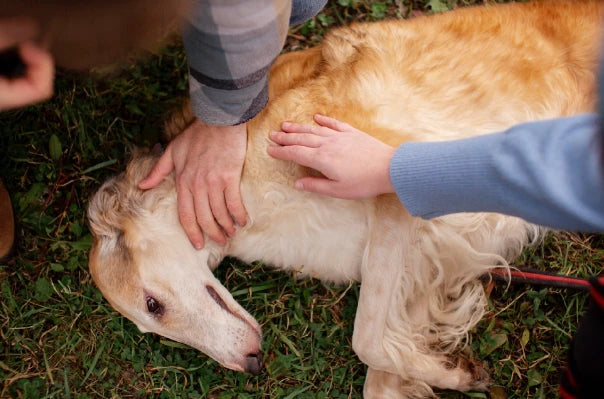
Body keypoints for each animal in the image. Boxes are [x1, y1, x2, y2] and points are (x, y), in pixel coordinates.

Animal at [87, 1, 600, 398]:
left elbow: (365, 338)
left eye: (153, 304)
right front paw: (447, 371)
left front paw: (456, 372)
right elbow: (381, 370)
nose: (252, 364)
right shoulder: (426, 262)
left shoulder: (398, 177)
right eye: (149, 323)